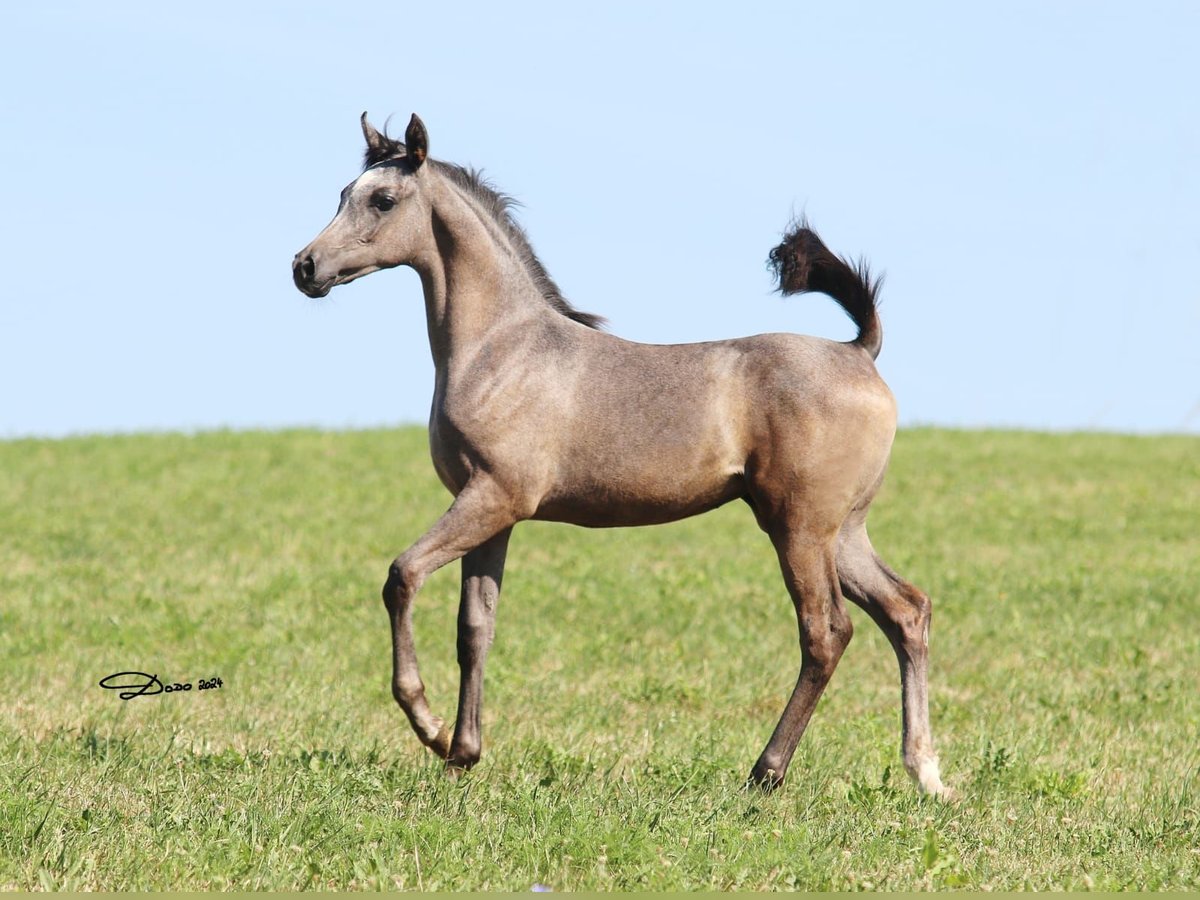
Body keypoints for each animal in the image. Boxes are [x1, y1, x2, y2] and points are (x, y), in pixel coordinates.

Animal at [290, 112, 945, 796]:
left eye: (383, 200)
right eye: (343, 193)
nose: (305, 267)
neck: (501, 350)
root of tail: (859, 351)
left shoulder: (492, 497)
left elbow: (403, 576)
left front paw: (430, 726)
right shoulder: (493, 515)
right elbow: (475, 629)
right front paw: (463, 752)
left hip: (799, 527)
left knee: (826, 632)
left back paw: (765, 773)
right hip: (841, 531)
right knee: (906, 611)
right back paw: (926, 772)